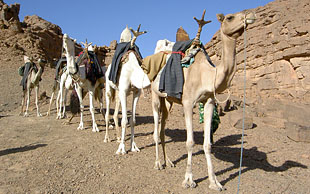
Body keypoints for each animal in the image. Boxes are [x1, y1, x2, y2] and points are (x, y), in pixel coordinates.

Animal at [104, 24, 151, 155]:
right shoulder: (124, 91)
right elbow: (124, 120)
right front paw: (121, 149)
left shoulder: (136, 93)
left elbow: (132, 120)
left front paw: (134, 147)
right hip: (109, 89)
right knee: (107, 113)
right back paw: (107, 138)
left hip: (118, 93)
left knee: (115, 115)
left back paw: (118, 137)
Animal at [150, 10, 254, 189]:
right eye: (230, 17)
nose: (250, 16)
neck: (208, 75)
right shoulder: (187, 103)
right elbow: (190, 142)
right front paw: (189, 180)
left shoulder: (209, 102)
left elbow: (207, 144)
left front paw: (214, 182)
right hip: (155, 95)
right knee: (156, 129)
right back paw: (157, 164)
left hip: (168, 100)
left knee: (163, 128)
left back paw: (168, 161)